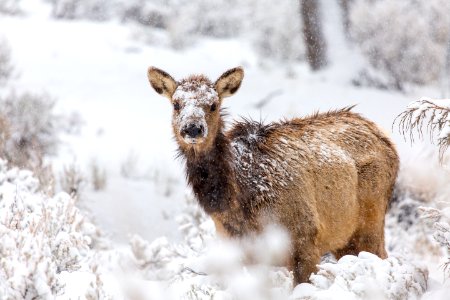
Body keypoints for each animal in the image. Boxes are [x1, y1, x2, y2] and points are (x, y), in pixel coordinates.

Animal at [147, 66, 398, 284]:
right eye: (176, 104)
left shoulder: (305, 239)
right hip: (344, 240)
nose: (192, 128)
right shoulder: (241, 251)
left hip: (371, 222)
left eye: (213, 104)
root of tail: (386, 139)